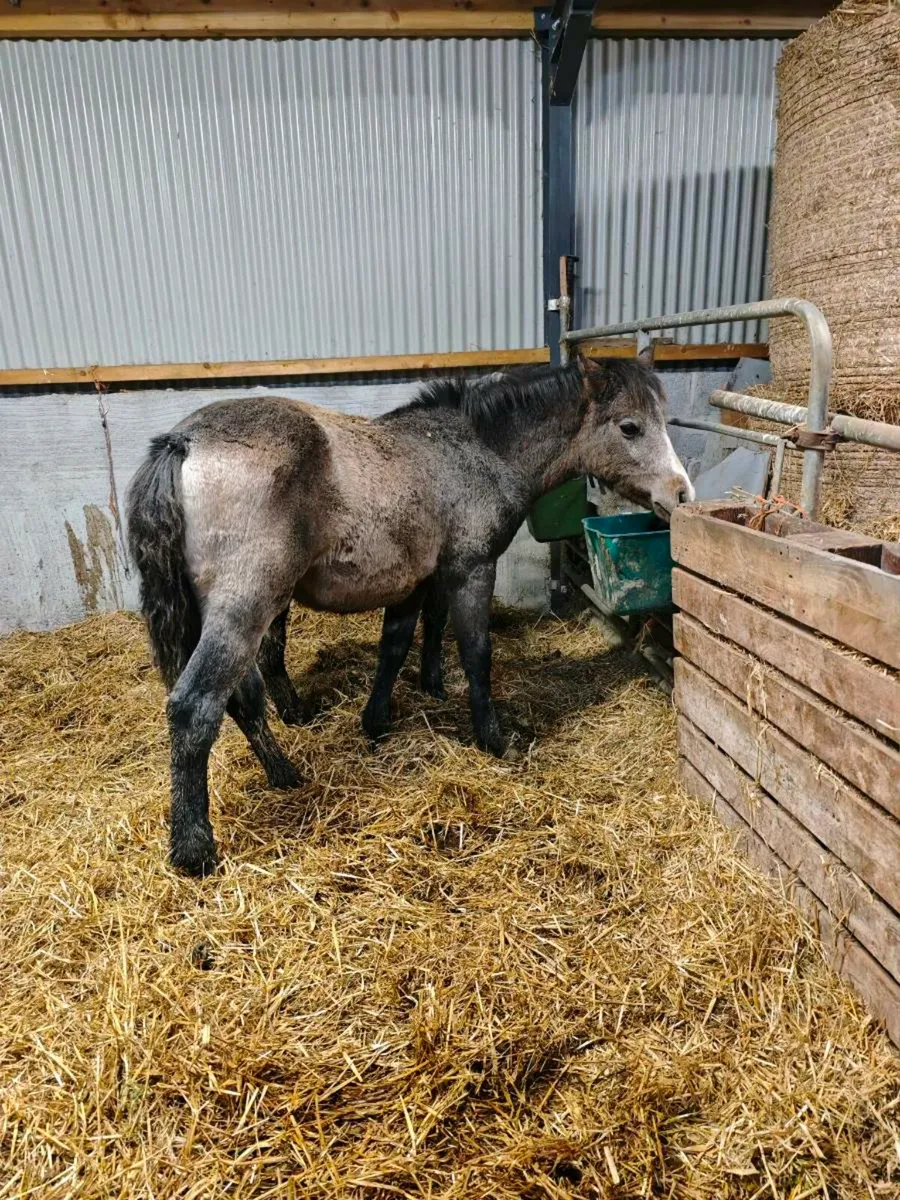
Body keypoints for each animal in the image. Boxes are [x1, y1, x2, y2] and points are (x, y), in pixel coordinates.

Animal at [126, 356, 693, 876]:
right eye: (630, 426)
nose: (681, 494)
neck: (473, 451)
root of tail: (184, 442)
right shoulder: (470, 569)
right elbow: (475, 653)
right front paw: (492, 739)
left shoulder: (416, 581)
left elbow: (397, 645)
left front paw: (379, 720)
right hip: (248, 606)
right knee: (195, 706)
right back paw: (195, 850)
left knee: (242, 698)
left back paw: (284, 774)